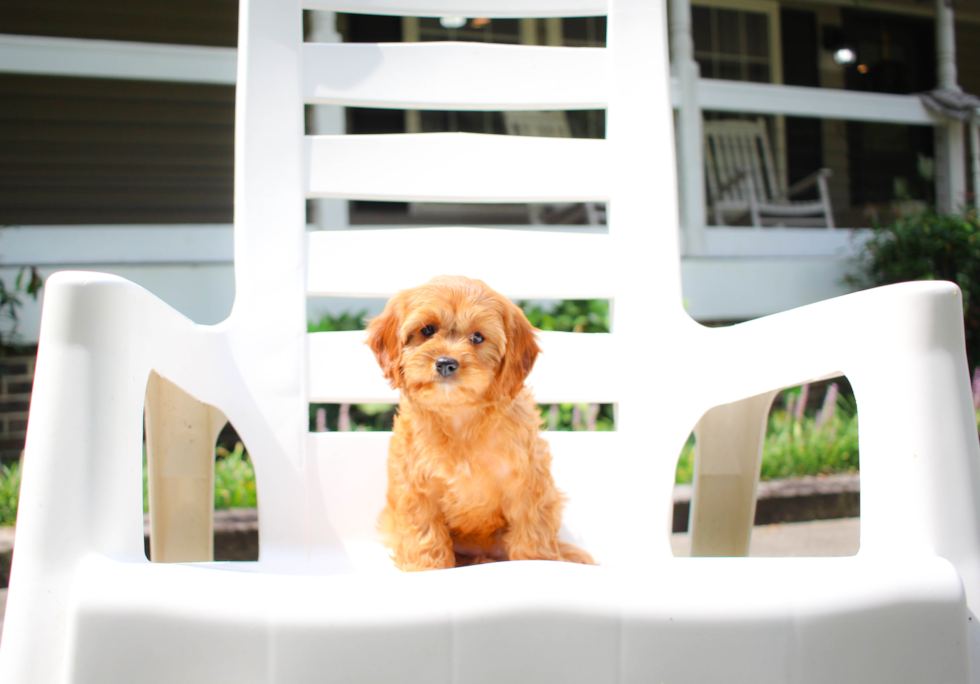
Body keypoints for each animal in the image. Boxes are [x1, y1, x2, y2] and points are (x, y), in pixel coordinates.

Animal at [368, 276, 596, 568]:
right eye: (427, 330)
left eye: (477, 337)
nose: (446, 363)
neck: (460, 414)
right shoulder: (416, 487)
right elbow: (424, 535)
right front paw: (427, 568)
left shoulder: (527, 482)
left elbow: (532, 531)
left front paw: (538, 561)